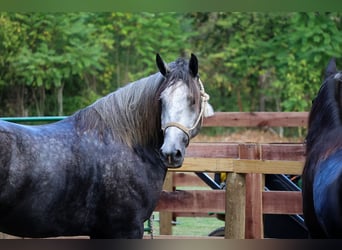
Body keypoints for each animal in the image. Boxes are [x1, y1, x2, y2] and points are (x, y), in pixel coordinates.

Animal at [0, 53, 212, 238]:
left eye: (193, 100)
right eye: (161, 100)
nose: (170, 152)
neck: (130, 144)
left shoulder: (101, 231)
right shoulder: (127, 229)